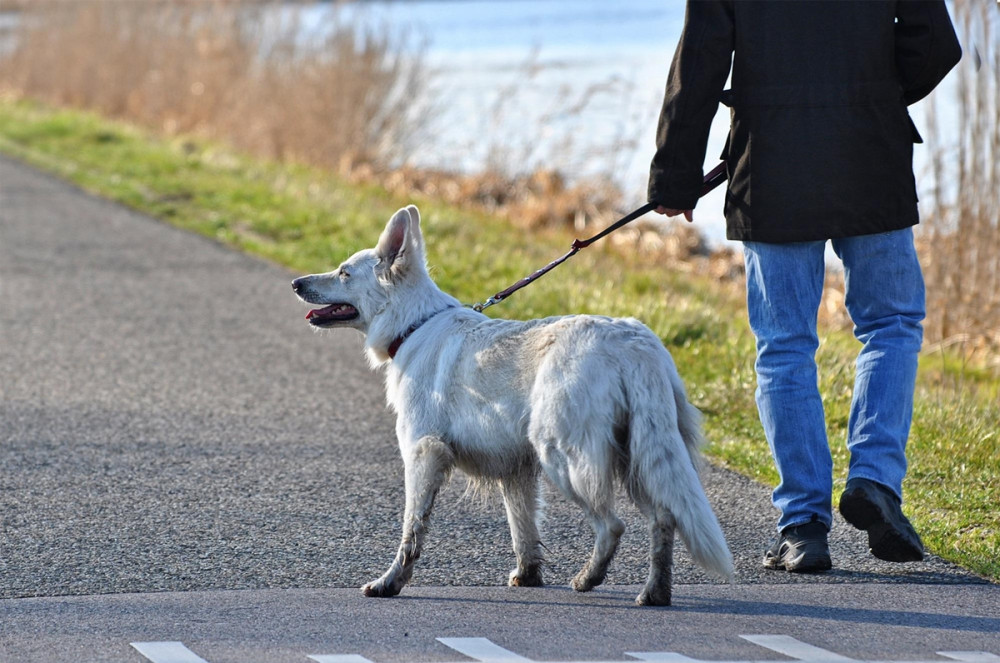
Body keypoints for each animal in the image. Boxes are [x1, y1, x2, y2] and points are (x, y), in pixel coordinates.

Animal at [292, 208, 732, 608]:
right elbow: (524, 530)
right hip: (638, 458)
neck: (414, 325)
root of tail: (634, 342)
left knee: (613, 525)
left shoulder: (423, 455)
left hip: (565, 458)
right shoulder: (516, 470)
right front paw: (528, 576)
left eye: (344, 273)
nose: (296, 282)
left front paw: (390, 583)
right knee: (664, 519)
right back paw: (654, 593)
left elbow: (412, 531)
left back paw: (588, 579)